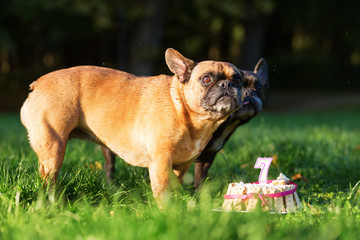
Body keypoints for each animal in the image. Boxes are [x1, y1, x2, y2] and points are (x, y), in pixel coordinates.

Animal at [21, 48, 243, 201]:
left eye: (239, 80)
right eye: (206, 79)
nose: (227, 84)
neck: (183, 108)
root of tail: (38, 83)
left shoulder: (183, 164)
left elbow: (175, 184)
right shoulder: (161, 161)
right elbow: (163, 189)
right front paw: (166, 210)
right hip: (54, 146)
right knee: (48, 177)